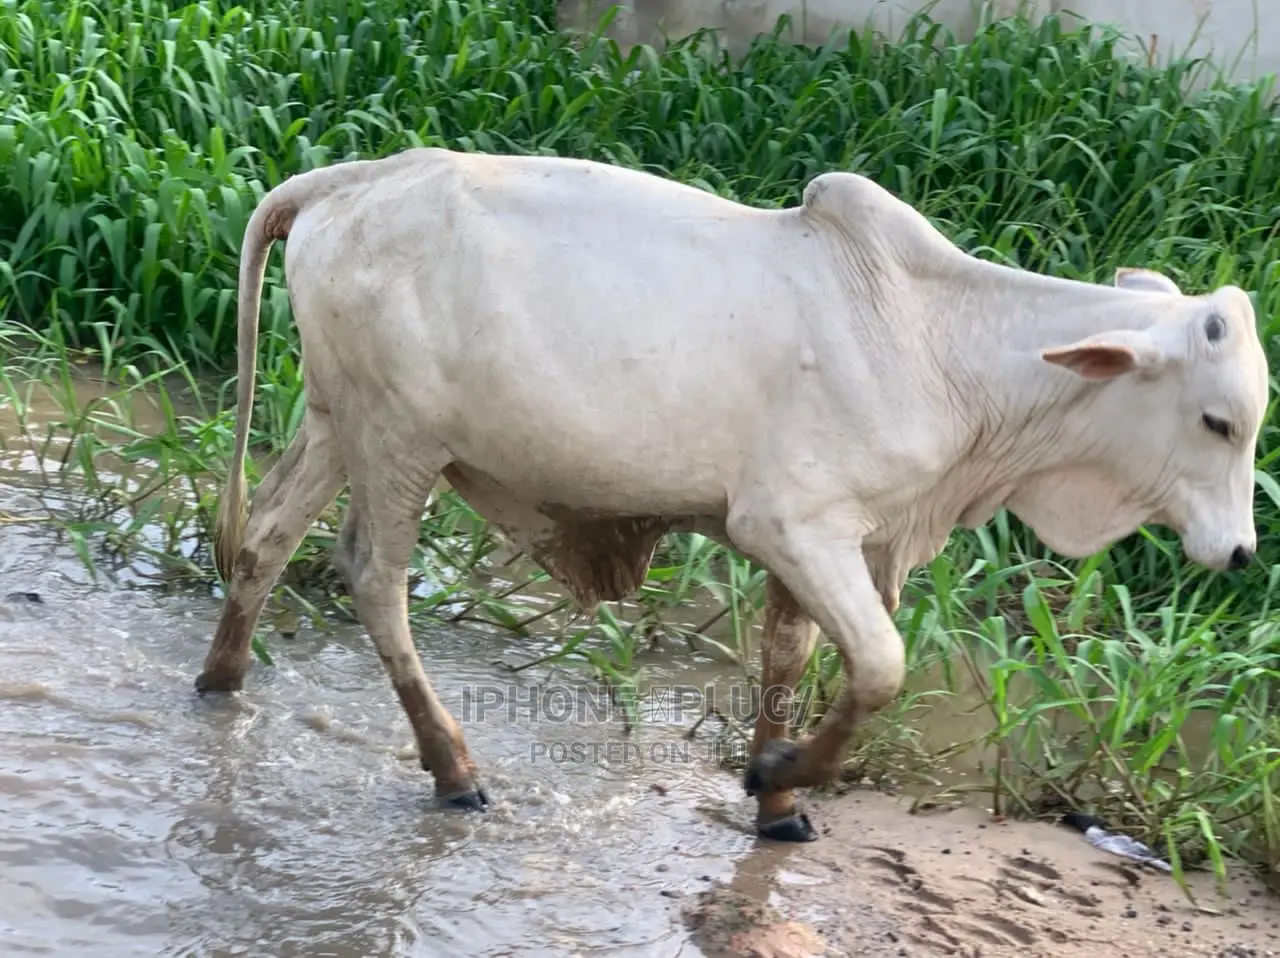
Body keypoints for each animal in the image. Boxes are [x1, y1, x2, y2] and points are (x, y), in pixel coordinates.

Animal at [195, 146, 1269, 843]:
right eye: (1219, 421)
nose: (1240, 552)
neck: (949, 351)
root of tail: (352, 179)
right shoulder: (791, 524)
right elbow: (881, 666)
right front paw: (779, 775)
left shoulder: (831, 541)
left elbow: (792, 661)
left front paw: (781, 806)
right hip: (399, 439)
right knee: (374, 578)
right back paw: (454, 770)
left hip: (338, 418)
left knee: (270, 536)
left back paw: (222, 679)